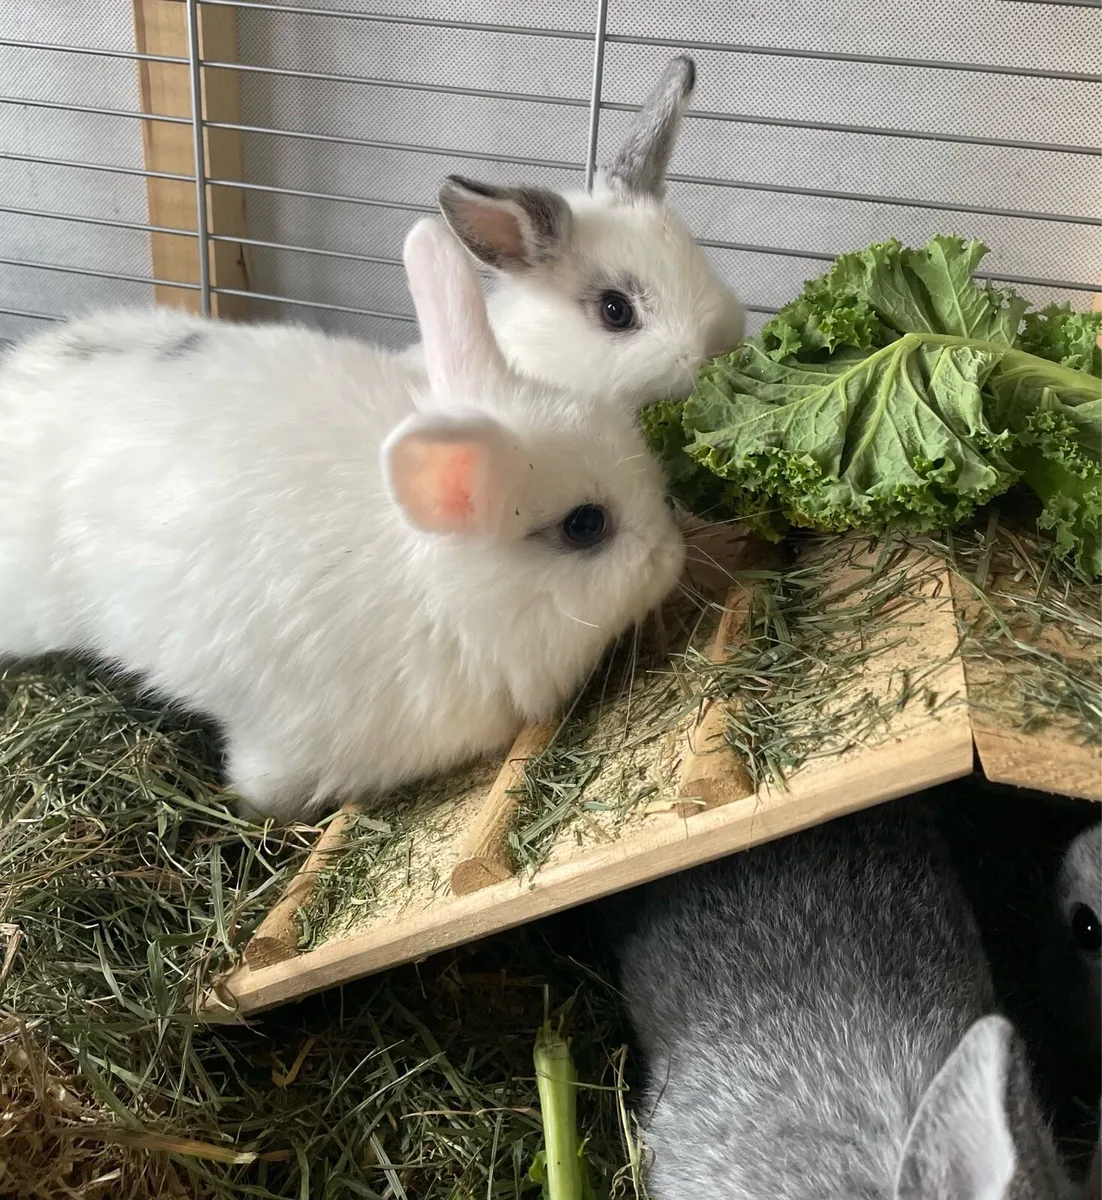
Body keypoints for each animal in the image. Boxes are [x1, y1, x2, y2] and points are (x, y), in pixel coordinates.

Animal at [0, 217, 685, 822]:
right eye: (585, 526)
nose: (673, 553)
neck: (445, 603)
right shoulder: (289, 742)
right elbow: (259, 787)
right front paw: (253, 812)